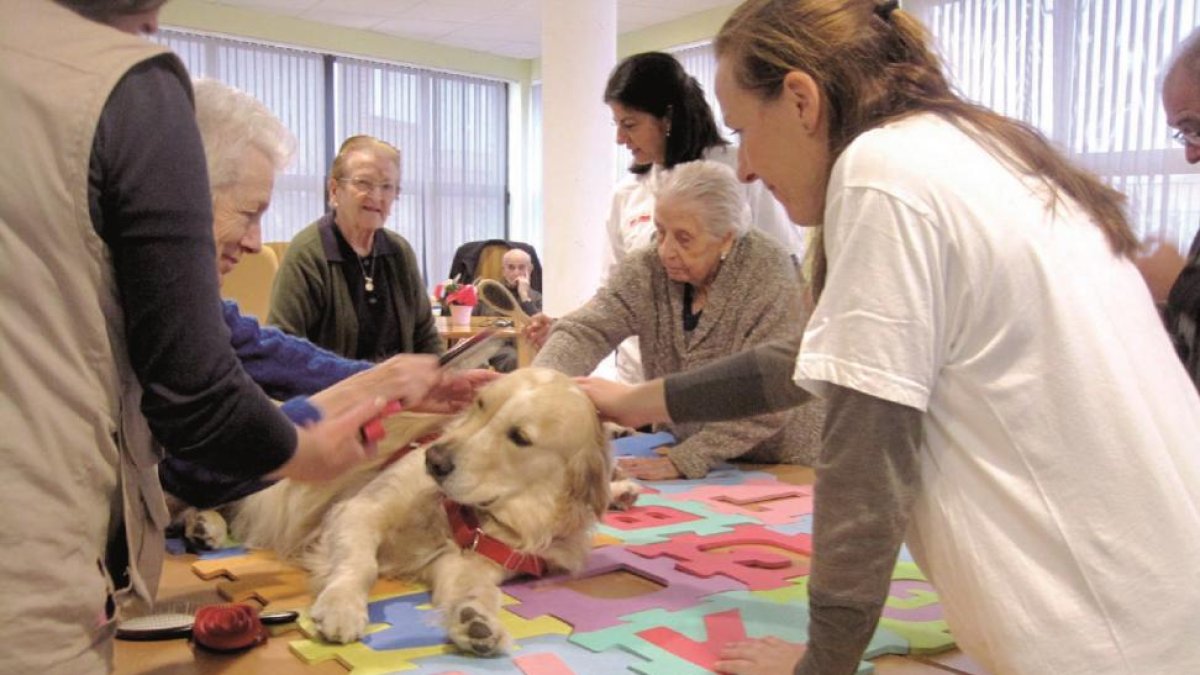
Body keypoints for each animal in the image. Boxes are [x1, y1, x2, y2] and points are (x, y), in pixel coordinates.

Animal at [222, 365, 614, 653]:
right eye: (480, 404)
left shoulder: (469, 560)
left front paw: (476, 621)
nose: (434, 460)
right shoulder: (360, 509)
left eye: (520, 437)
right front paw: (341, 605)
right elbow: (361, 564)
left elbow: (479, 591)